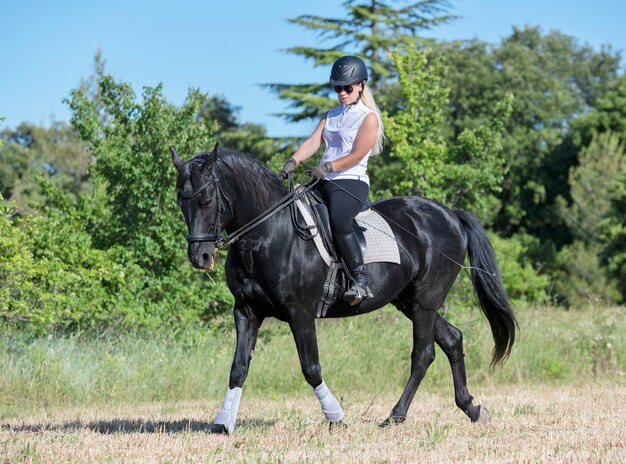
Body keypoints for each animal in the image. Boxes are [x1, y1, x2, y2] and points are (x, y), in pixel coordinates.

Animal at [169, 146, 512, 436]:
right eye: (180, 202)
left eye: (206, 201)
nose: (199, 257)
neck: (266, 234)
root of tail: (450, 215)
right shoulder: (246, 311)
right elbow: (238, 368)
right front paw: (222, 423)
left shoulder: (299, 313)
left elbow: (311, 368)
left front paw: (336, 416)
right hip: (410, 301)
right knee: (452, 339)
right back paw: (472, 409)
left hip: (425, 302)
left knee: (423, 355)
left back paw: (395, 416)